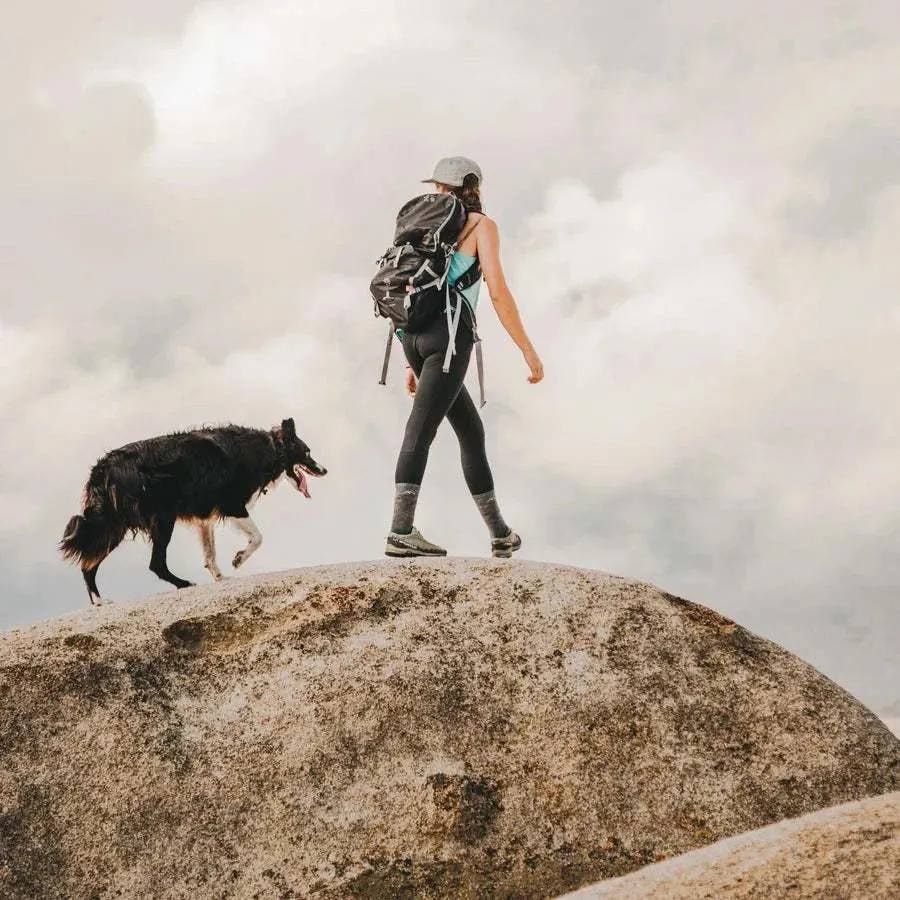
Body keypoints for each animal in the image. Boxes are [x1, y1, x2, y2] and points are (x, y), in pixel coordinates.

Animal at [60, 416, 326, 604]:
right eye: (307, 452)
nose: (324, 470)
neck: (267, 448)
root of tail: (102, 468)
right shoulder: (233, 505)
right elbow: (258, 537)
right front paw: (238, 559)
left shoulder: (205, 518)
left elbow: (210, 553)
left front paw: (220, 577)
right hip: (160, 518)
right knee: (155, 563)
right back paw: (183, 584)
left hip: (115, 525)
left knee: (88, 564)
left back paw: (99, 602)